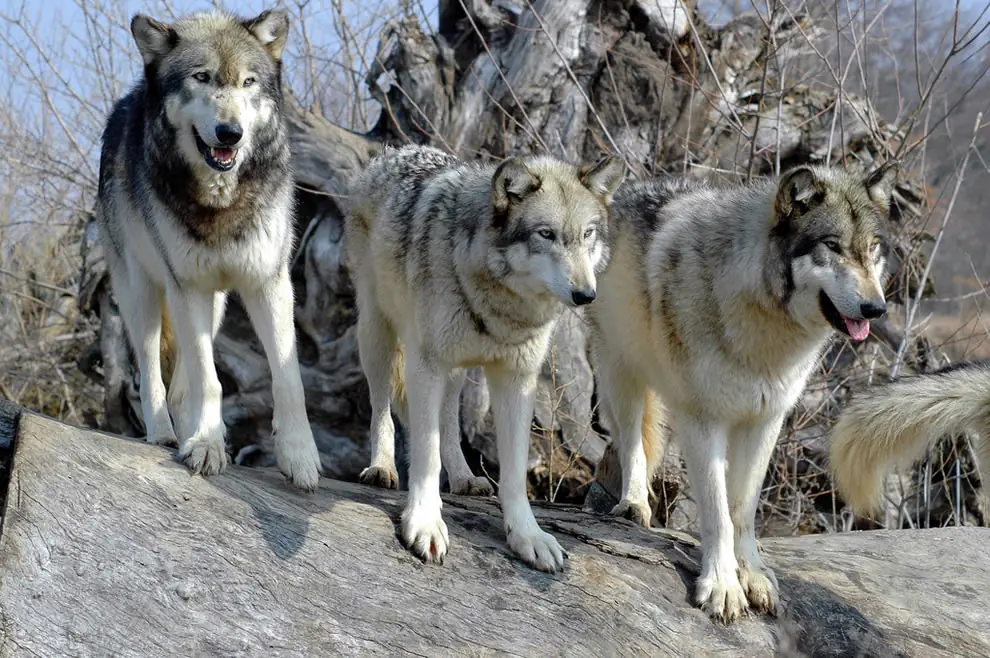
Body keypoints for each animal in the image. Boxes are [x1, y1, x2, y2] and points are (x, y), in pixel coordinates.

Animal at [94, 9, 322, 490]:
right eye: (201, 77)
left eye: (248, 82)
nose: (230, 133)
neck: (222, 203)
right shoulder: (187, 286)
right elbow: (210, 379)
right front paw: (205, 445)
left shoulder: (269, 283)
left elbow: (288, 377)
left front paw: (299, 457)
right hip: (142, 293)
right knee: (152, 371)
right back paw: (164, 433)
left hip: (213, 306)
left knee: (184, 384)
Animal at [345, 144, 625, 571]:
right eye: (546, 234)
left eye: (587, 234)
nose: (585, 295)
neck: (501, 306)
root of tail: (394, 152)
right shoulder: (426, 364)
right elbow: (425, 455)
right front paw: (424, 523)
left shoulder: (517, 380)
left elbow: (513, 472)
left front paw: (527, 537)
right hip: (378, 336)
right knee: (382, 408)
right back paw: (382, 467)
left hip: (456, 370)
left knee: (447, 422)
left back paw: (464, 478)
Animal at [587, 162, 897, 622]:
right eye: (832, 246)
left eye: (872, 248)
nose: (876, 309)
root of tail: (624, 192)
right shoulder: (704, 420)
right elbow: (717, 512)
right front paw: (722, 586)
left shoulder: (765, 420)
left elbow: (742, 510)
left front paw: (752, 574)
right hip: (621, 375)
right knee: (631, 443)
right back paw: (634, 504)